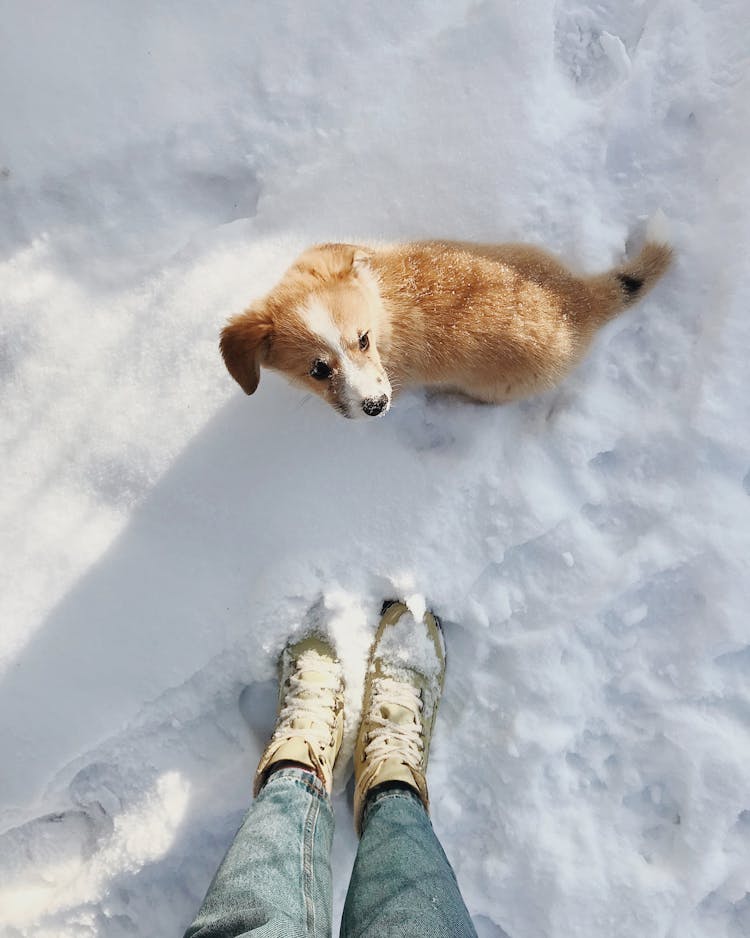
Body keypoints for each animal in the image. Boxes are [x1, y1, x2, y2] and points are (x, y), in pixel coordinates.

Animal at [220, 236, 672, 418]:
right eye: (317, 369)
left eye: (363, 341)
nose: (377, 407)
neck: (381, 309)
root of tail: (579, 301)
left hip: (495, 388)